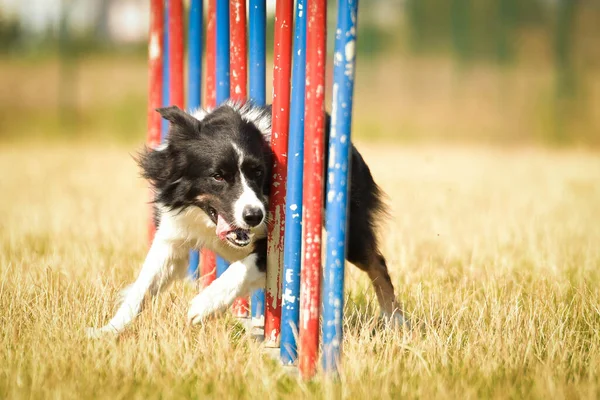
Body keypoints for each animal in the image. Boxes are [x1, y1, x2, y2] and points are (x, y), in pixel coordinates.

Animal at [86, 101, 404, 338]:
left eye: (258, 172)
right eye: (218, 176)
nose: (254, 216)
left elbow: (241, 268)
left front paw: (205, 304)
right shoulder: (173, 235)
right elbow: (142, 286)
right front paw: (106, 331)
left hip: (346, 222)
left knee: (377, 263)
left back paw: (394, 320)